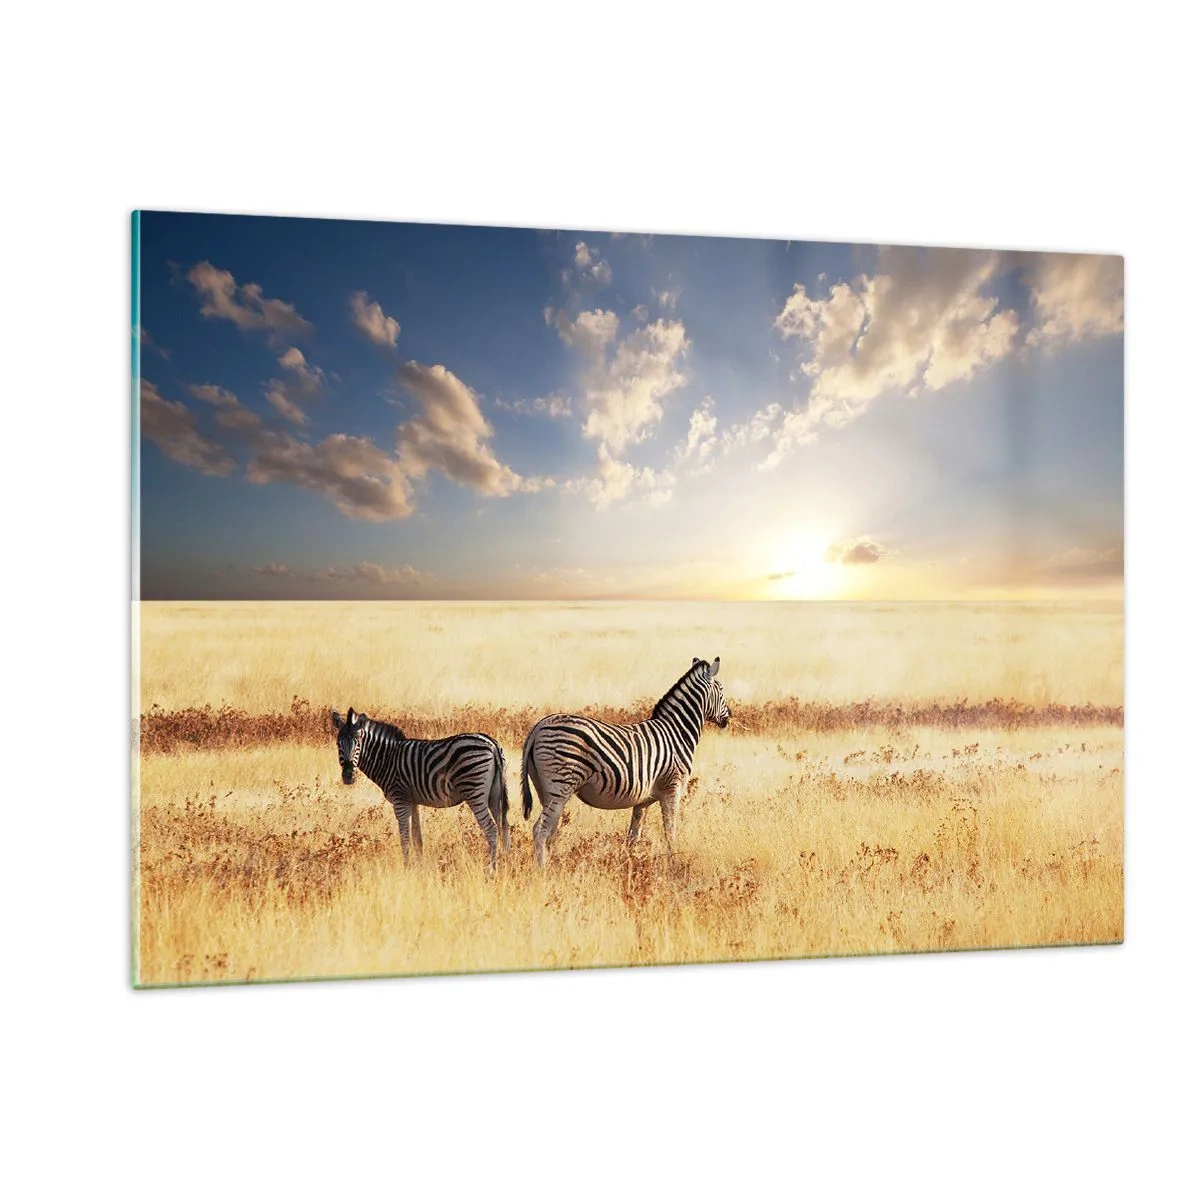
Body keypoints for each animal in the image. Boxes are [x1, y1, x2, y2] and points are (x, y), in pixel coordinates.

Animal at [331, 707, 511, 868]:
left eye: (358, 744)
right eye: (338, 744)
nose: (348, 776)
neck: (387, 758)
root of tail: (491, 743)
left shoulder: (400, 799)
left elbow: (405, 838)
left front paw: (406, 868)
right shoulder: (413, 801)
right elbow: (418, 839)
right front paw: (419, 868)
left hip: (474, 791)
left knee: (491, 829)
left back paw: (491, 869)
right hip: (494, 795)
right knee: (504, 827)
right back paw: (507, 863)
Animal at [520, 657, 731, 866]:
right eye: (721, 689)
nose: (729, 717)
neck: (677, 732)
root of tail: (539, 726)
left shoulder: (643, 799)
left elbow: (633, 836)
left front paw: (630, 865)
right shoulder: (673, 787)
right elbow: (670, 832)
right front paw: (674, 864)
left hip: (545, 790)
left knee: (550, 831)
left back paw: (555, 865)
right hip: (560, 786)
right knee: (541, 830)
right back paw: (542, 870)